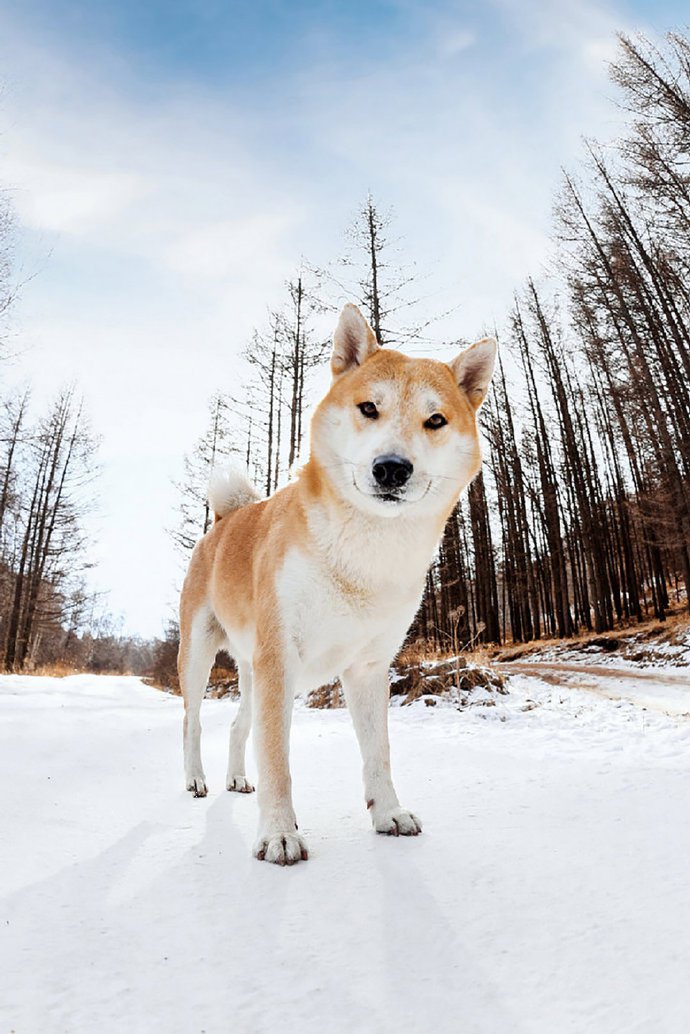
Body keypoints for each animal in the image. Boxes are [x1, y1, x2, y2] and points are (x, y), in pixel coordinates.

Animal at [177, 303, 496, 864]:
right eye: (369, 408)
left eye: (435, 420)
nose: (391, 468)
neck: (362, 555)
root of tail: (224, 518)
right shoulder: (280, 658)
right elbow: (277, 761)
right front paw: (278, 833)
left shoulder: (368, 669)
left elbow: (378, 753)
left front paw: (389, 812)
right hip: (200, 656)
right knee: (194, 722)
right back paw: (196, 780)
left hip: (252, 672)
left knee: (238, 727)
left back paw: (236, 779)